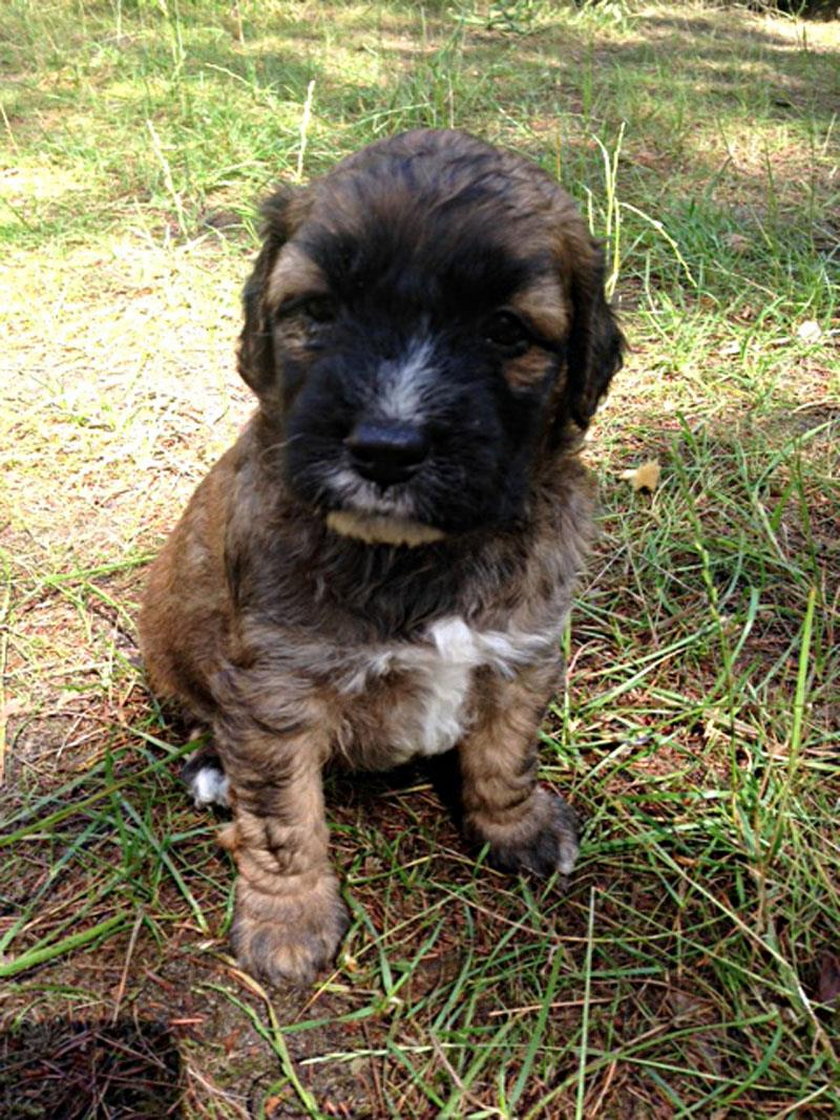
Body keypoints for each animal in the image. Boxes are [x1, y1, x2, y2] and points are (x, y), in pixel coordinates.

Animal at [140, 131, 627, 985]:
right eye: (318, 312)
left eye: (506, 332)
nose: (386, 449)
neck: (419, 556)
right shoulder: (276, 691)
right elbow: (283, 820)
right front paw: (288, 922)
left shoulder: (524, 648)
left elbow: (506, 752)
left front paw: (515, 826)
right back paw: (211, 769)